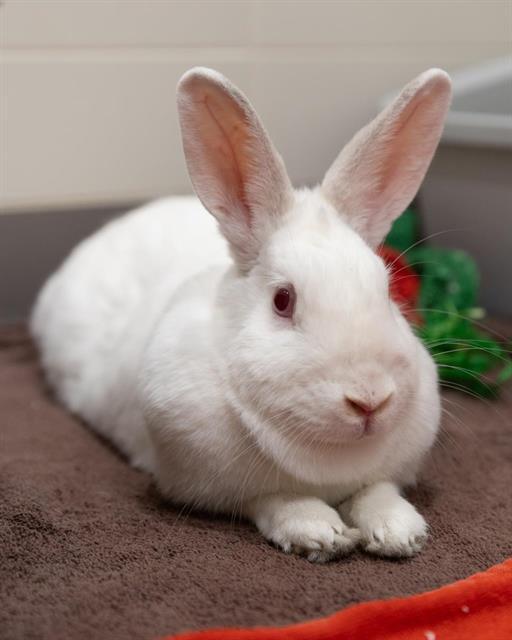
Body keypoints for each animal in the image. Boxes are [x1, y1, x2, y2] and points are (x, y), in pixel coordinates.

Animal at [31, 66, 452, 562]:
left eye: (386, 291)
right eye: (282, 300)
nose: (370, 400)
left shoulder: (388, 471)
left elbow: (378, 490)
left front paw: (400, 532)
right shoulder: (212, 487)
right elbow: (276, 499)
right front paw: (320, 533)